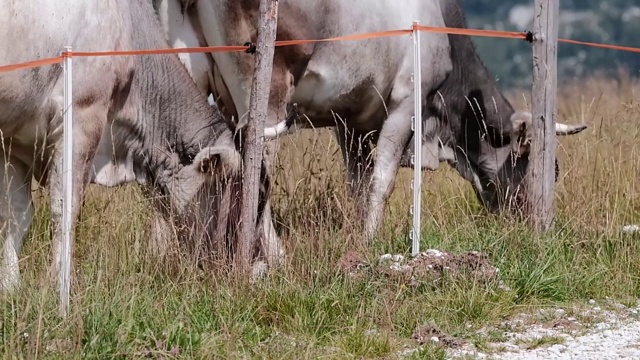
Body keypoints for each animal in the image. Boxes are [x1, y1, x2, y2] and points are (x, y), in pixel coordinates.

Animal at [0, 0, 290, 292]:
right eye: (239, 194)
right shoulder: (82, 118)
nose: (259, 269)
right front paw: (60, 285)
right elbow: (65, 209)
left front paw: (10, 285)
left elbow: (17, 215)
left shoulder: (14, 140)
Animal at [158, 0, 588, 250]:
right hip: (266, 92)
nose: (532, 227)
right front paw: (369, 241)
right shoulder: (405, 103)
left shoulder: (350, 121)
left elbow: (358, 184)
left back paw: (162, 252)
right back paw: (272, 255)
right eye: (537, 166)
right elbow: (382, 180)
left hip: (185, 72)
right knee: (255, 172)